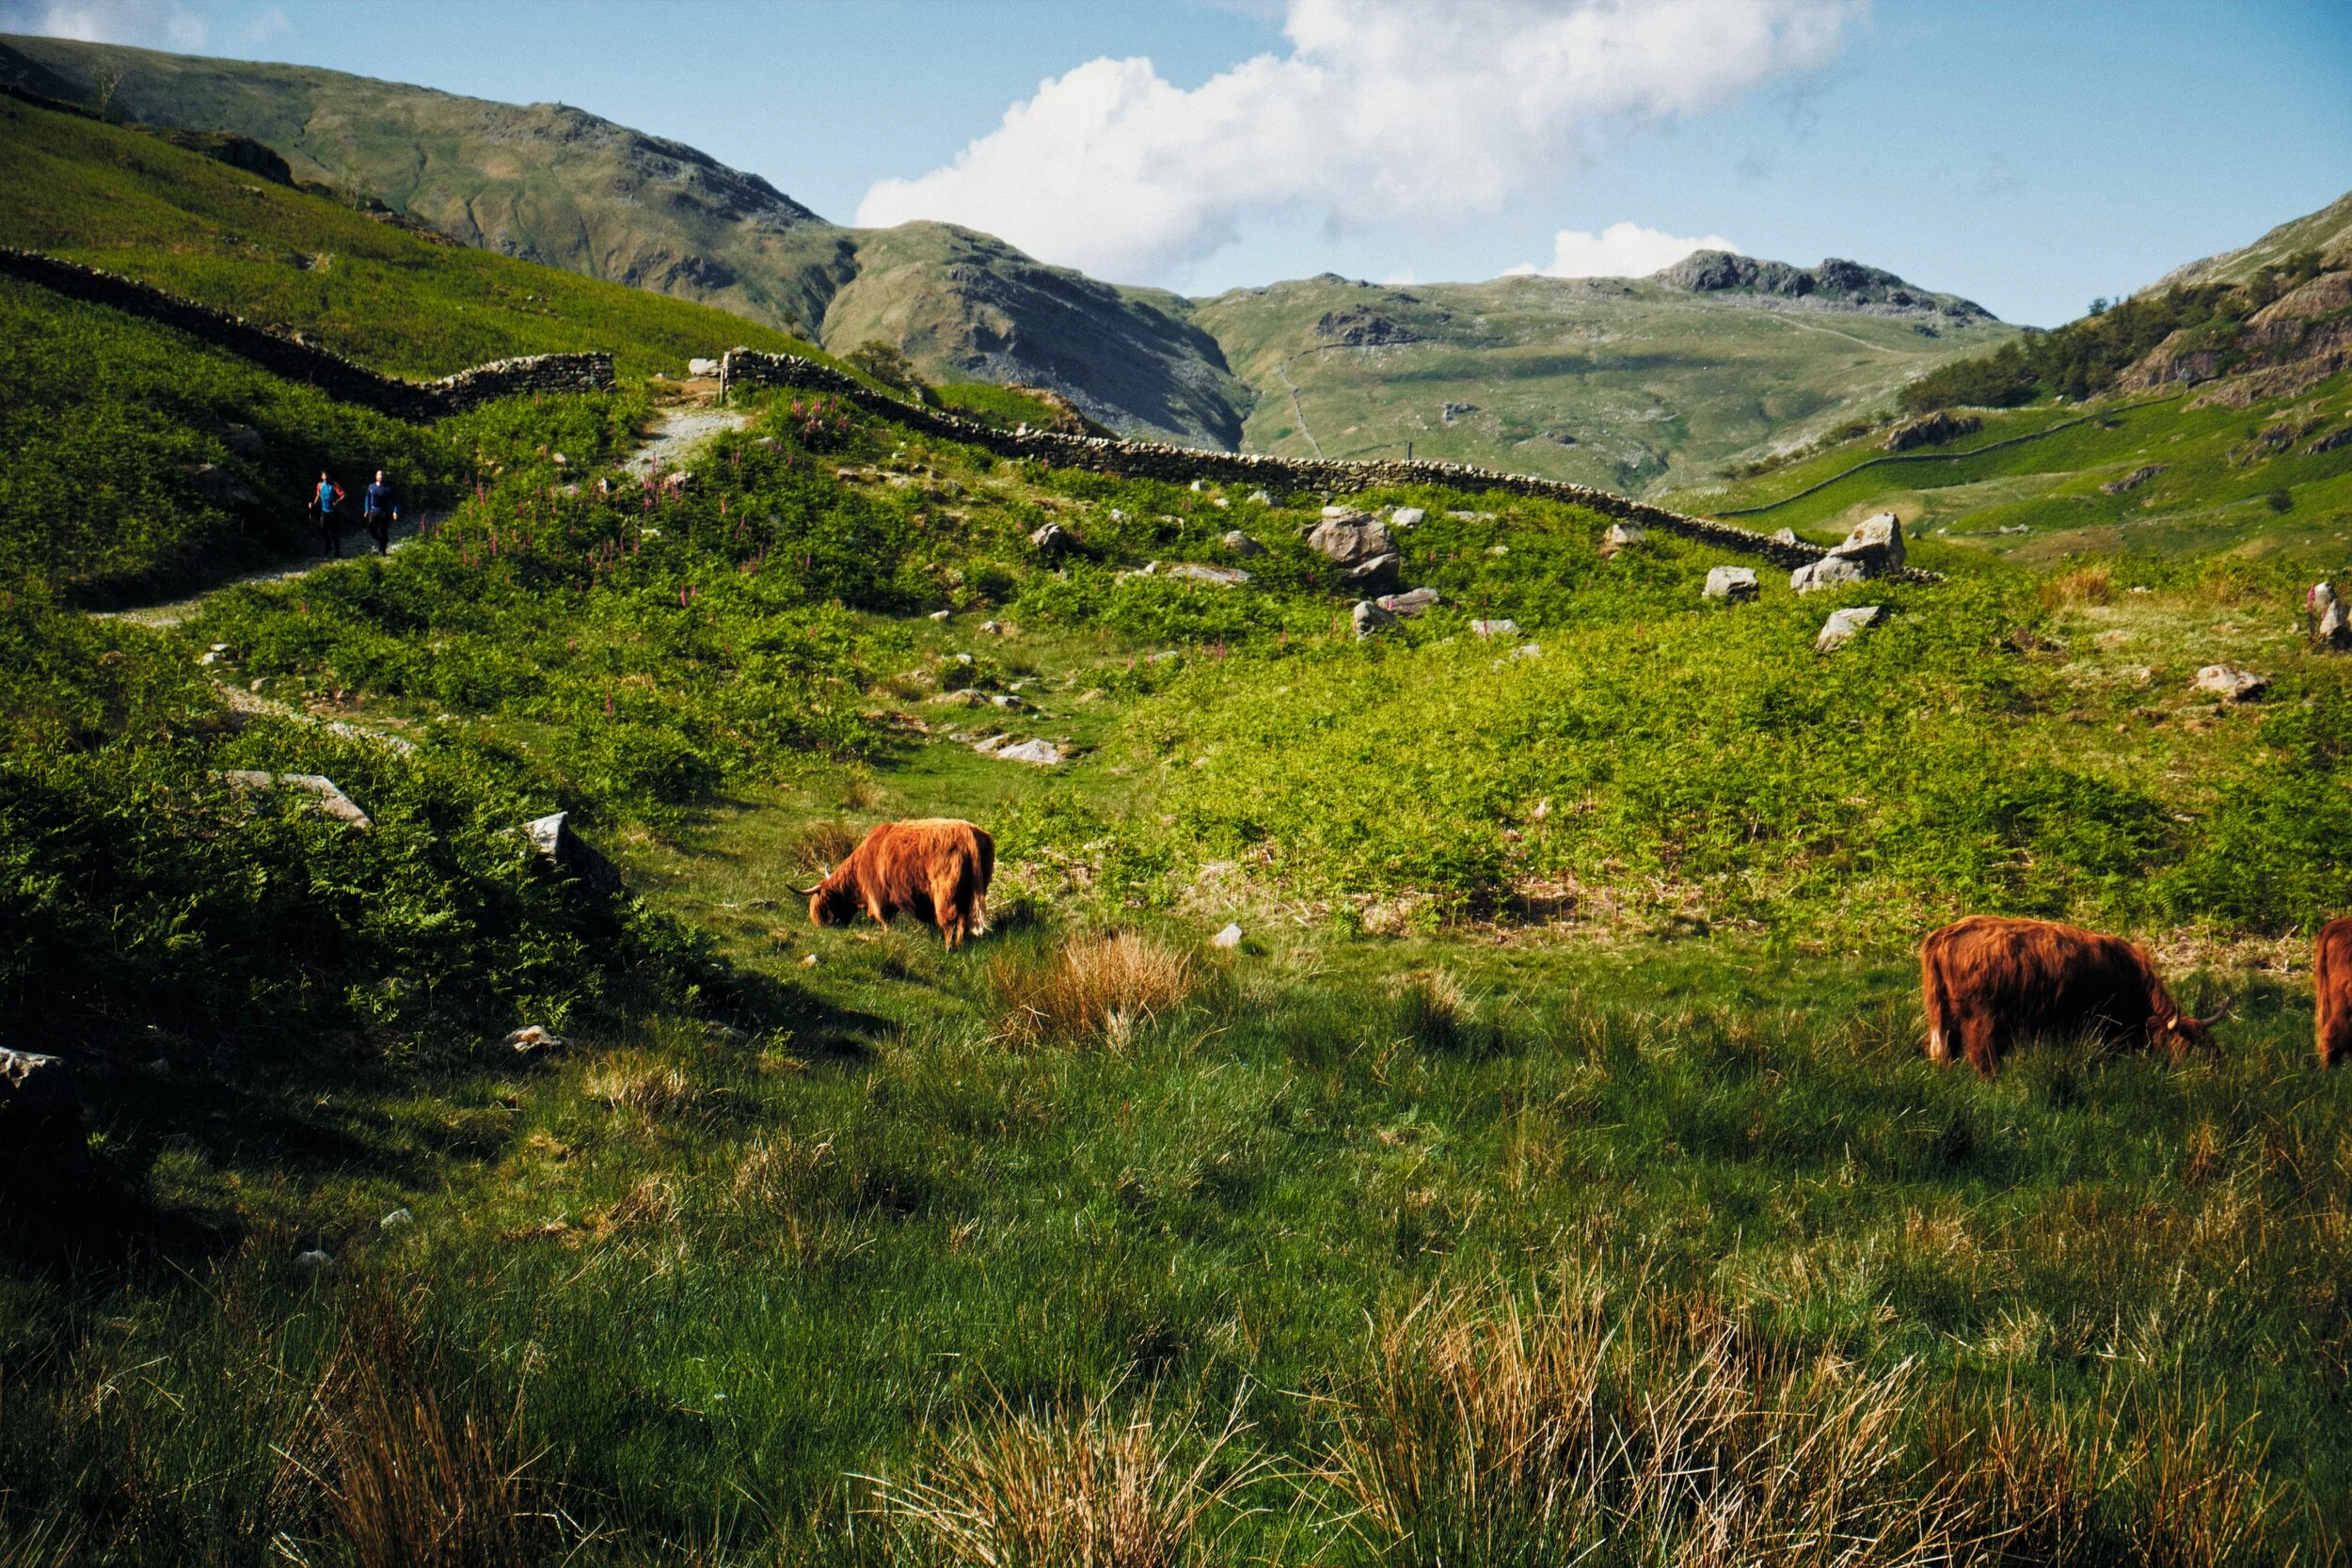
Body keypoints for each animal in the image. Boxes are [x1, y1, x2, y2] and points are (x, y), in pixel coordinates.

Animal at [800, 818, 994, 949]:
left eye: (824, 905)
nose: (822, 927)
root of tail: (969, 834)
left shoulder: (879, 897)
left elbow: (886, 920)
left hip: (945, 892)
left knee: (950, 920)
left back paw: (948, 948)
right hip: (970, 892)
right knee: (962, 921)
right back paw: (959, 946)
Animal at [1920, 915, 2213, 1074]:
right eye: (2187, 1047)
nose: (2212, 1069)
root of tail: (1945, 934)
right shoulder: (2098, 1025)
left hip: (1941, 1014)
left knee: (1941, 1053)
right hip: (1981, 1017)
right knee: (1981, 1057)